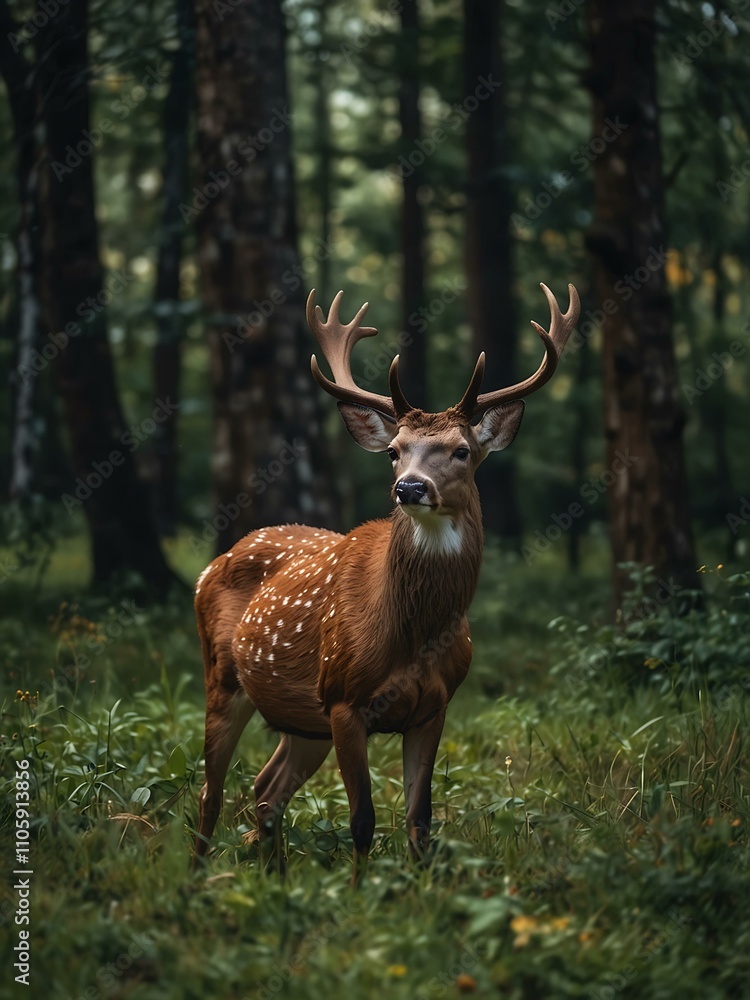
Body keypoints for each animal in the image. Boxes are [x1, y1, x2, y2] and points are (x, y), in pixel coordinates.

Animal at [193, 282, 580, 881]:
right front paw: (359, 892)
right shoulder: (344, 699)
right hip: (225, 679)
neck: (413, 637)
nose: (410, 487)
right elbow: (363, 820)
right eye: (395, 451)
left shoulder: (435, 707)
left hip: (301, 717)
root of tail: (213, 563)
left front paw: (415, 890)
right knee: (210, 792)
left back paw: (275, 878)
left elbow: (420, 819)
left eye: (462, 450)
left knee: (266, 787)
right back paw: (198, 878)